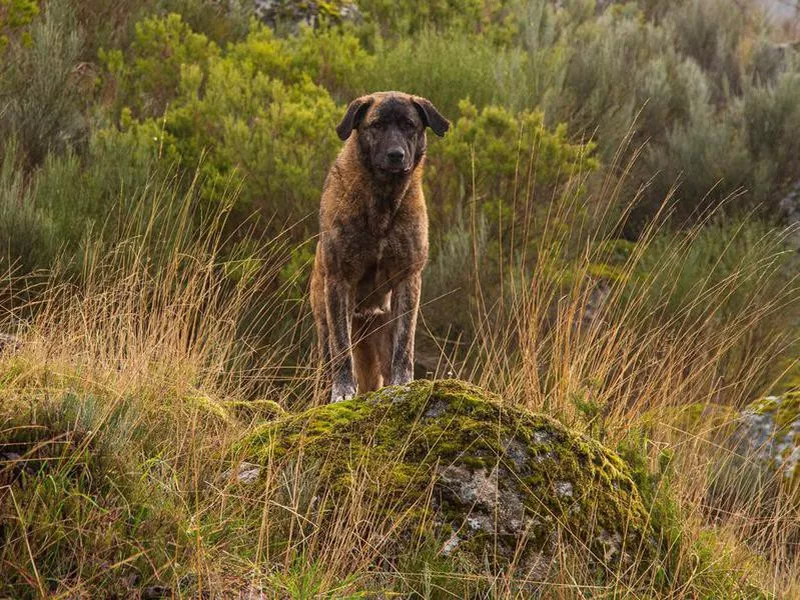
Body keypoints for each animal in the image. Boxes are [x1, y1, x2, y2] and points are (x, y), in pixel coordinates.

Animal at [310, 91, 450, 404]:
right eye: (377, 125)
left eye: (409, 125)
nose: (396, 155)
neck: (383, 200)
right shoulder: (339, 281)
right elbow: (342, 350)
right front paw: (343, 391)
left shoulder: (407, 280)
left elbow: (404, 346)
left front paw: (403, 384)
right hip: (325, 327)